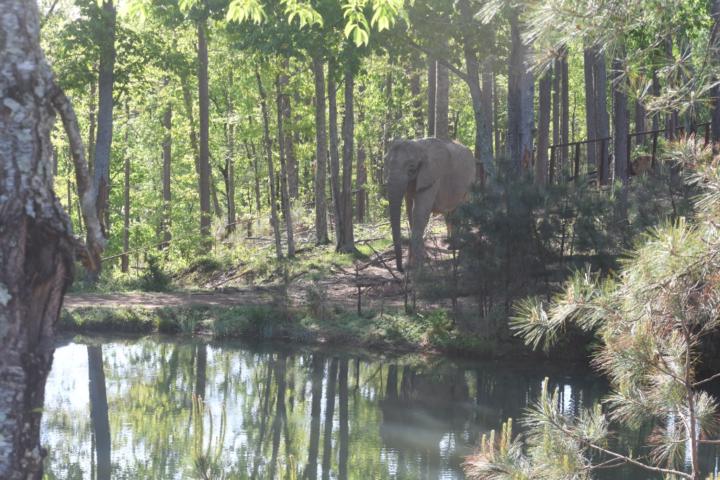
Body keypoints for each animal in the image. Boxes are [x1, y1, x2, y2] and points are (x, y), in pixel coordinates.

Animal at [386, 138, 476, 272]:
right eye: (386, 164)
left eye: (411, 168)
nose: (401, 269)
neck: (419, 146)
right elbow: (410, 213)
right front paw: (411, 264)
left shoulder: (432, 177)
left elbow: (419, 214)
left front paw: (417, 268)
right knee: (451, 214)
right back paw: (450, 244)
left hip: (469, 182)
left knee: (461, 209)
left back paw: (457, 247)